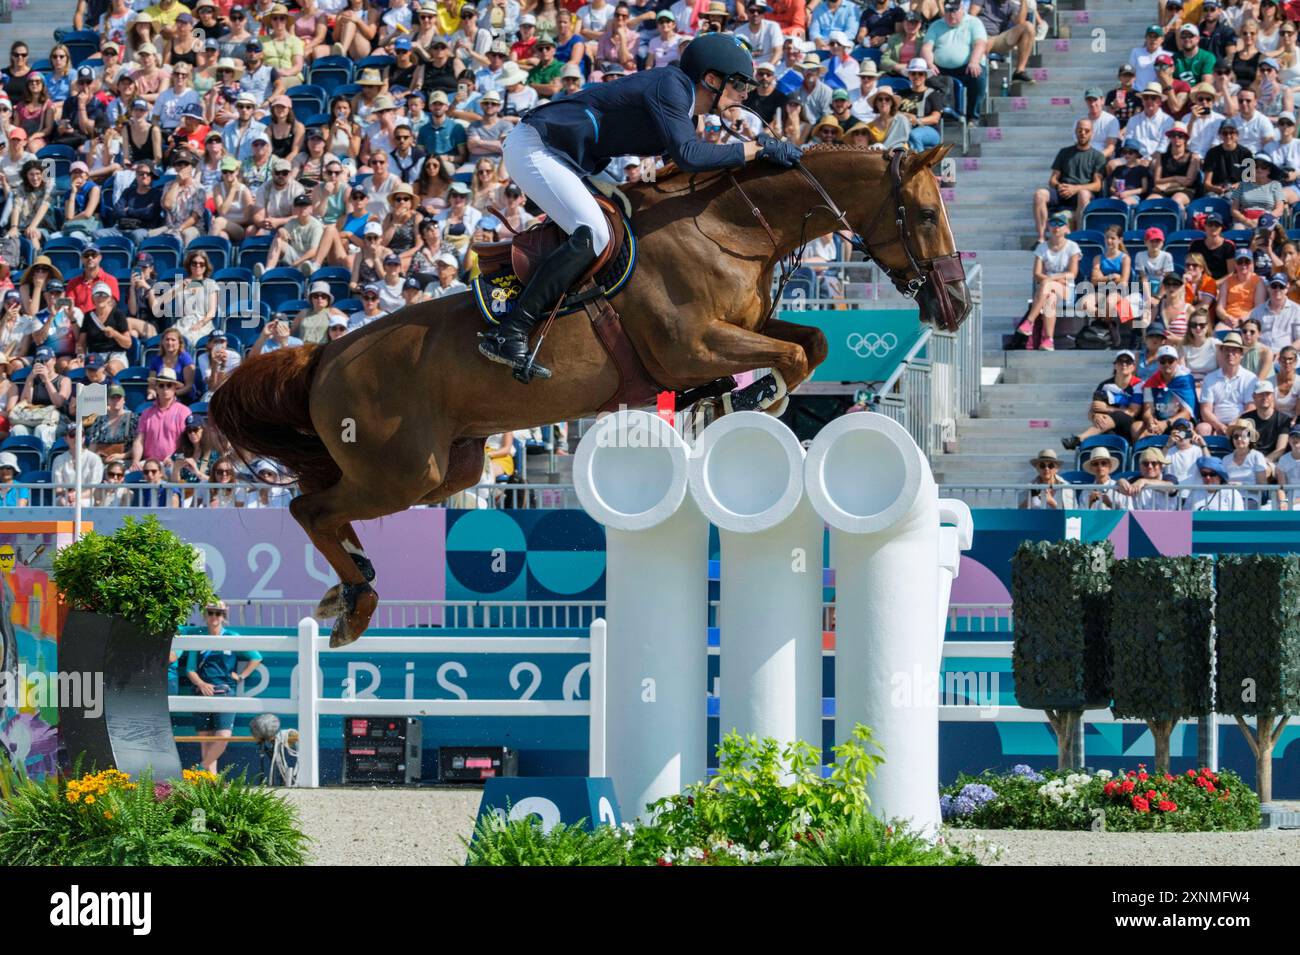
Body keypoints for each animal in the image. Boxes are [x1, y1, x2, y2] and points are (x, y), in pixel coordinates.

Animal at [210, 143, 967, 649]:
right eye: (927, 213)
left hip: (447, 468)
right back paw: (357, 602)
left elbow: (809, 344)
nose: (955, 307)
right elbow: (790, 358)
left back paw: (346, 588)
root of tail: (325, 353)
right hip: (403, 471)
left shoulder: (739, 329)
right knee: (309, 506)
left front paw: (733, 404)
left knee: (328, 506)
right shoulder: (691, 344)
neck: (734, 229)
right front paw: (748, 404)